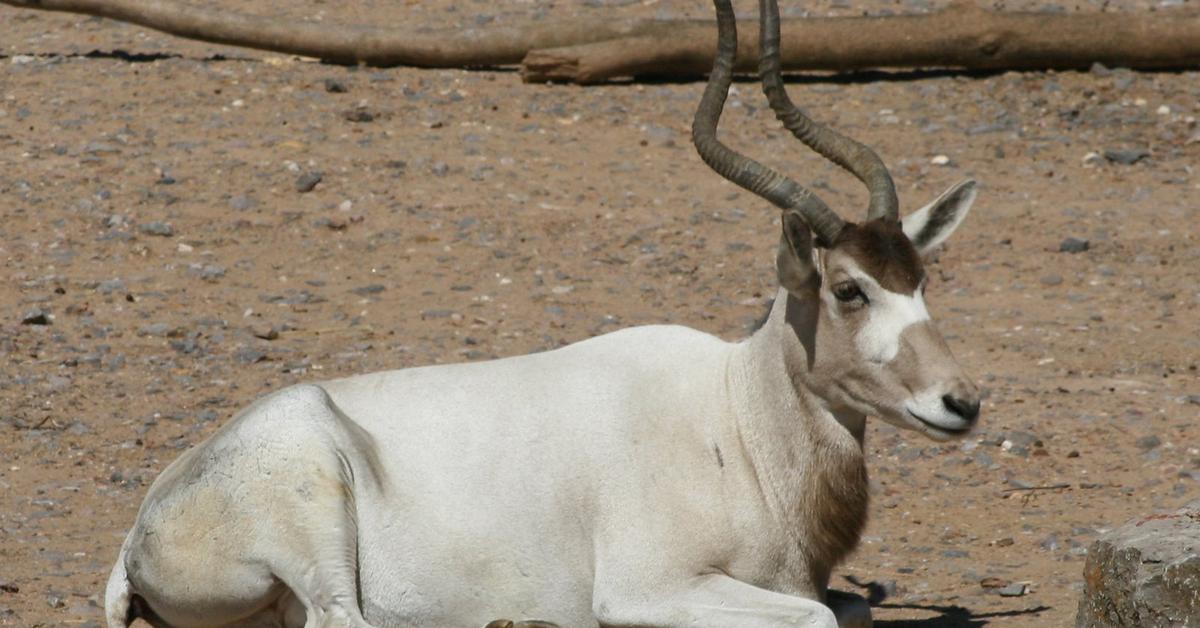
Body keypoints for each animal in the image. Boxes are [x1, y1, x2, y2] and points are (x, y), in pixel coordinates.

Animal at [108, 1, 979, 628]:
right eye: (849, 288)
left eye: (921, 278)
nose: (962, 402)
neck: (738, 420)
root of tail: (143, 527)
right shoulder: (646, 590)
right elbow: (820, 618)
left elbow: (850, 609)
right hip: (315, 507)